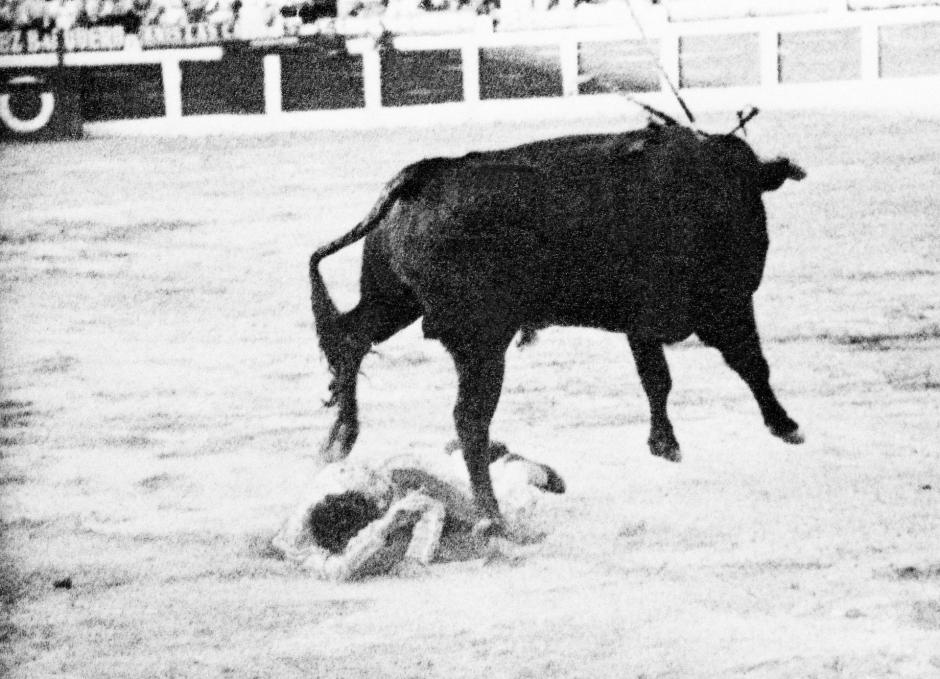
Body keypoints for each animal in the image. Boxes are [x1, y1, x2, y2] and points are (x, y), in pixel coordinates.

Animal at [308, 123, 808, 524]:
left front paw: (664, 445)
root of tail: (423, 174)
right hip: (481, 342)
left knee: (351, 338)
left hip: (393, 302)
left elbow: (656, 380)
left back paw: (338, 441)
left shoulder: (642, 324)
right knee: (469, 419)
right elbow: (751, 364)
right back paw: (491, 515)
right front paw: (786, 425)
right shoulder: (725, 306)